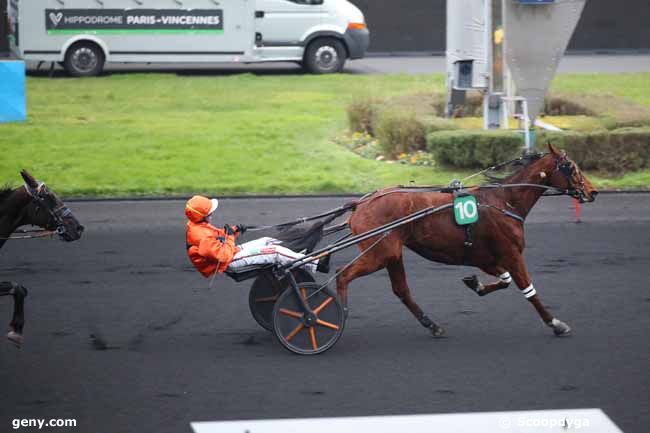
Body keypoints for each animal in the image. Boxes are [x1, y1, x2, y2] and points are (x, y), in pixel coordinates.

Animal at [0, 170, 83, 346]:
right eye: (50, 196)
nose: (78, 228)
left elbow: (20, 288)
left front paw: (16, 329)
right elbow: (18, 287)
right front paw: (16, 330)